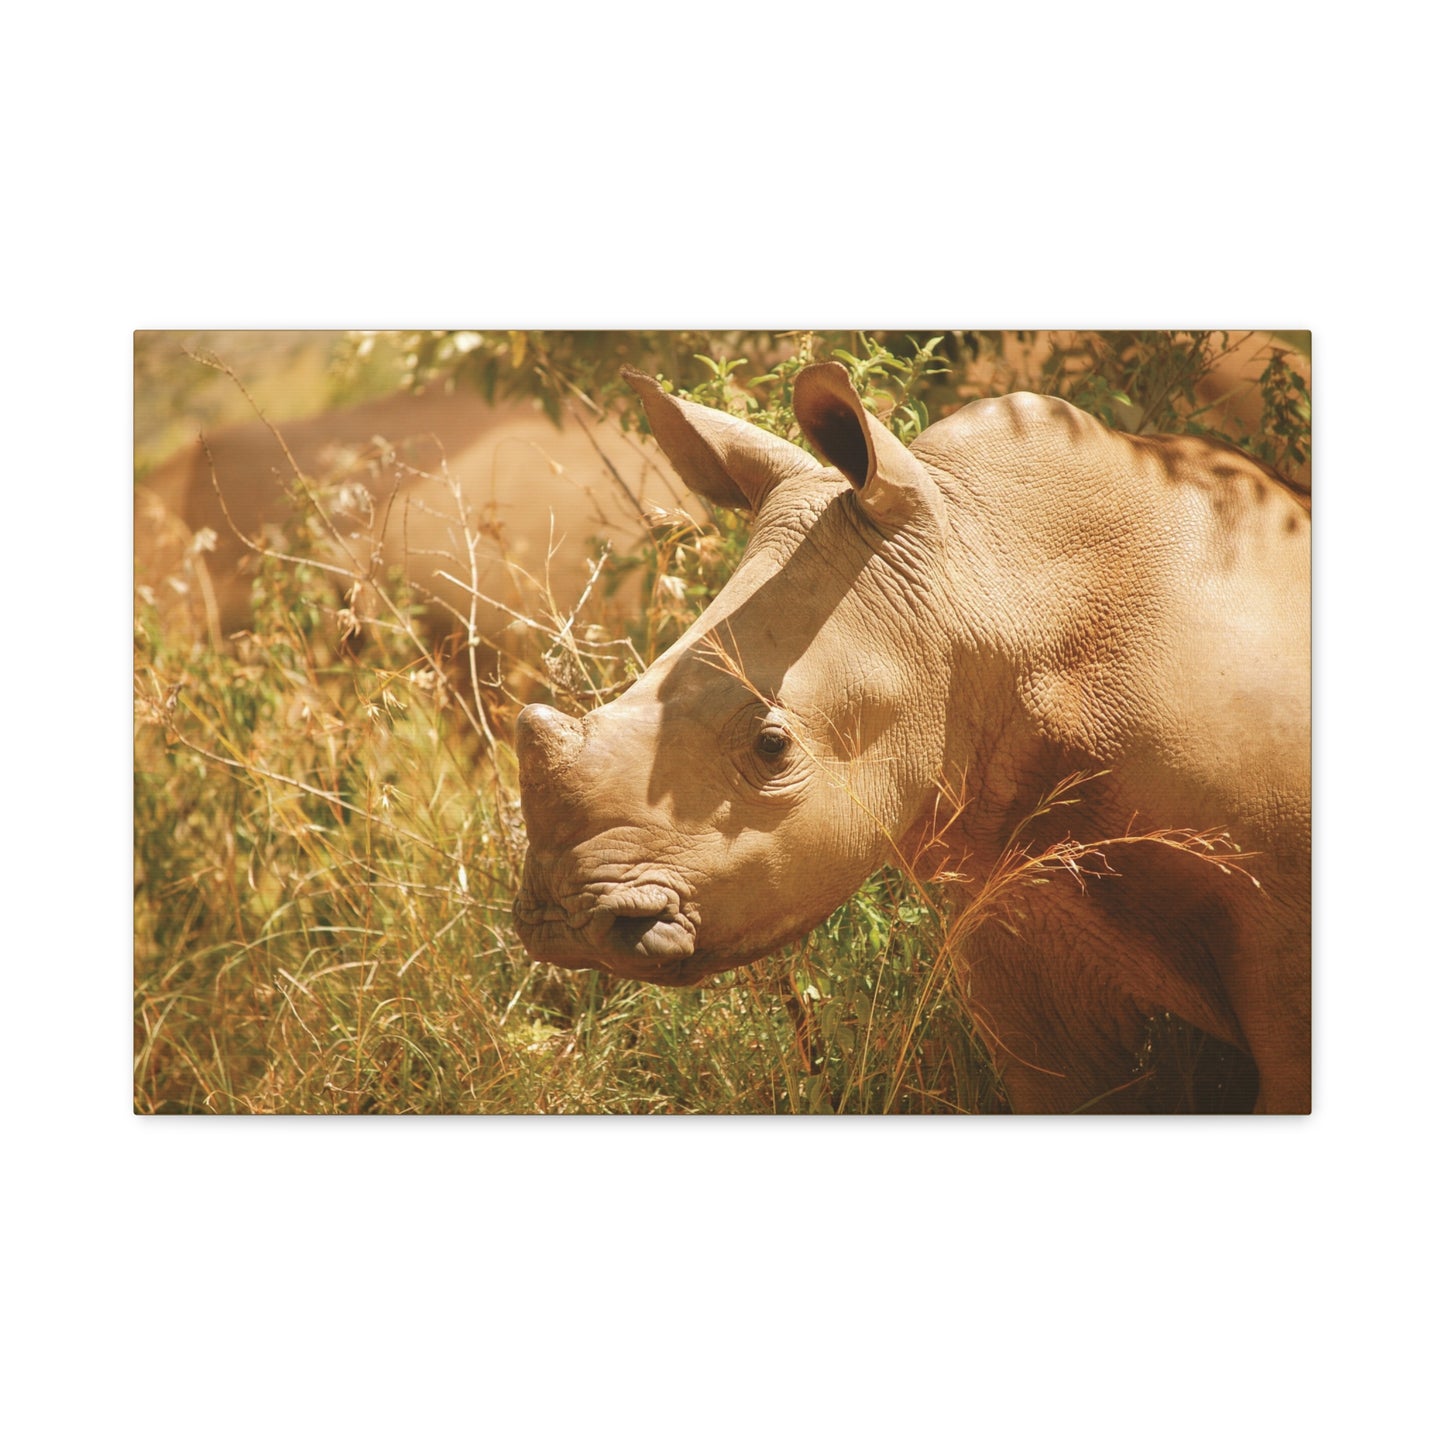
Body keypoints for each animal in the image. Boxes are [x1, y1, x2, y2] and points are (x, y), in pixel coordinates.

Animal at [511, 361, 1311, 1114]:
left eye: (773, 746)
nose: (566, 920)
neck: (994, 583)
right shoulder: (1021, 907)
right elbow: (1070, 1086)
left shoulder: (1284, 927)